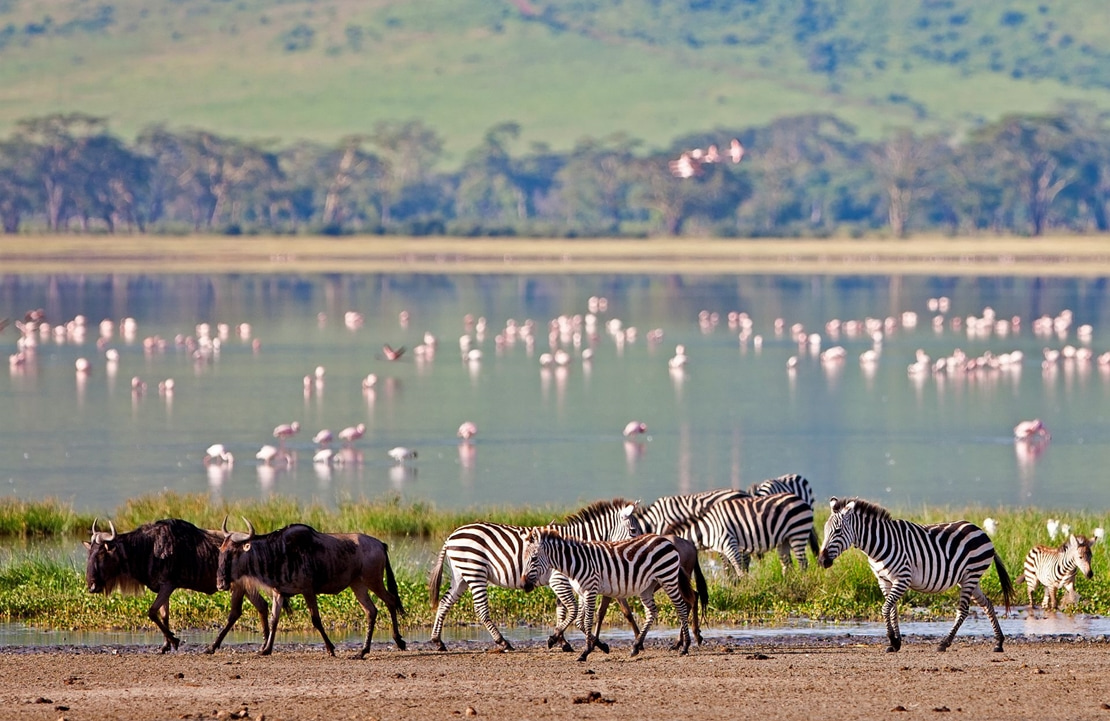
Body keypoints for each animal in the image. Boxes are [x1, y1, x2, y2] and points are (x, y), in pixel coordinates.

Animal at [432, 496, 643, 647]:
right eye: (634, 530)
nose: (640, 549)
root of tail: (451, 536)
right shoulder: (559, 579)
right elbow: (572, 610)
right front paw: (590, 641)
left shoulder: (560, 582)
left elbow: (562, 610)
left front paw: (562, 641)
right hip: (475, 572)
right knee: (481, 610)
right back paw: (503, 642)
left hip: (461, 575)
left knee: (444, 602)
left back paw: (438, 641)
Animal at [519, 525, 692, 661]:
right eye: (524, 558)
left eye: (534, 558)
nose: (523, 584)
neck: (574, 564)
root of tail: (664, 540)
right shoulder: (581, 592)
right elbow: (579, 622)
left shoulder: (591, 590)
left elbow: (588, 620)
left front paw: (585, 652)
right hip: (647, 586)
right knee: (652, 612)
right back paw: (636, 647)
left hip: (667, 577)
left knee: (682, 607)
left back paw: (685, 647)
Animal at [661, 488, 812, 572]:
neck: (707, 529)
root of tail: (799, 498)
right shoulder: (723, 549)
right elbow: (729, 569)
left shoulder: (730, 543)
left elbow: (739, 568)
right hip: (784, 540)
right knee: (787, 564)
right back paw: (789, 584)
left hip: (798, 533)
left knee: (803, 563)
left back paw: (801, 581)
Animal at [816, 496, 1016, 647]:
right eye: (824, 530)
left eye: (838, 531)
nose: (821, 561)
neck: (878, 546)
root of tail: (981, 531)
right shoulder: (884, 580)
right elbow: (893, 610)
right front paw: (896, 642)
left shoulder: (902, 578)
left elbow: (885, 608)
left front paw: (892, 640)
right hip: (969, 579)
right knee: (987, 604)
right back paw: (998, 642)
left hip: (971, 575)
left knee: (963, 610)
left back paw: (945, 643)